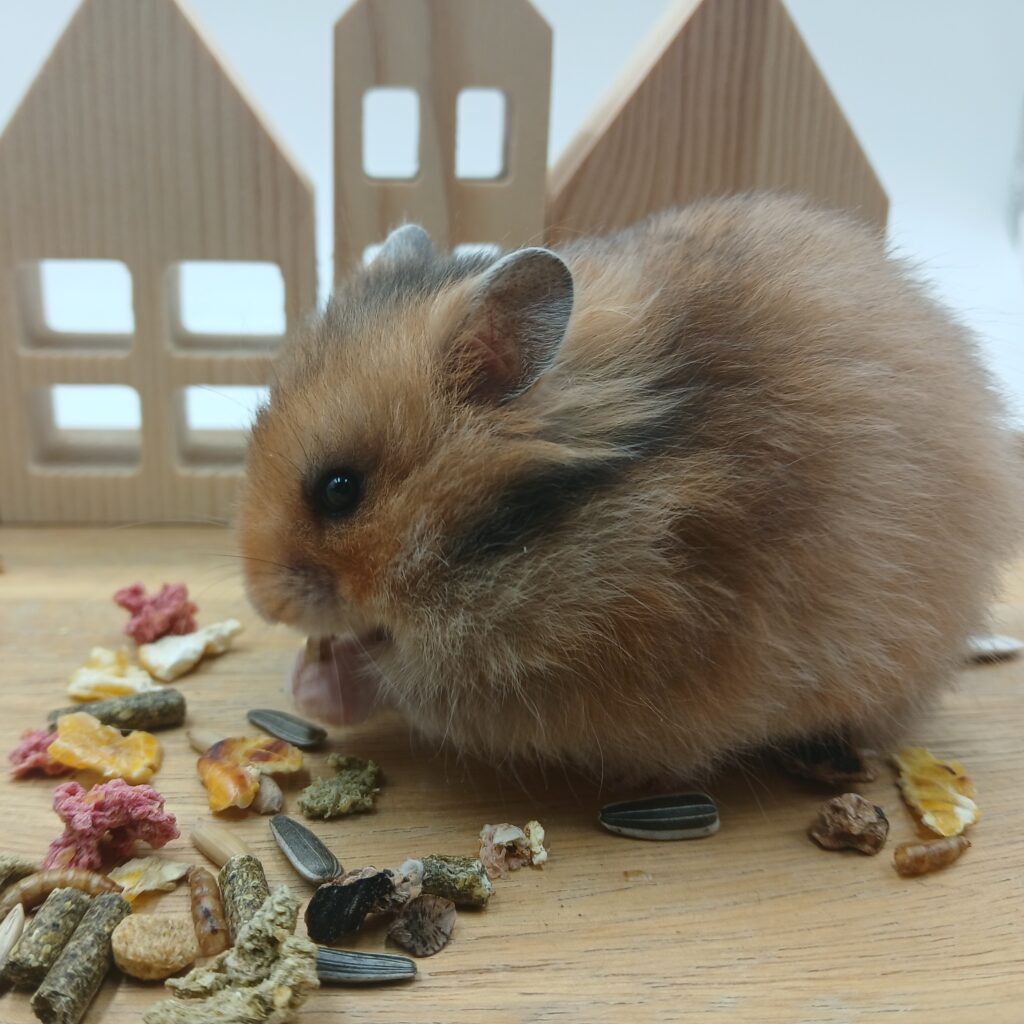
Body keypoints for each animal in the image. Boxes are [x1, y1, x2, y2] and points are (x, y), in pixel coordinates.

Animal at [239, 193, 1020, 781]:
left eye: (340, 490)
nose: (263, 603)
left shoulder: (552, 668)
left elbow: (398, 677)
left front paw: (314, 684)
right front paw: (304, 671)